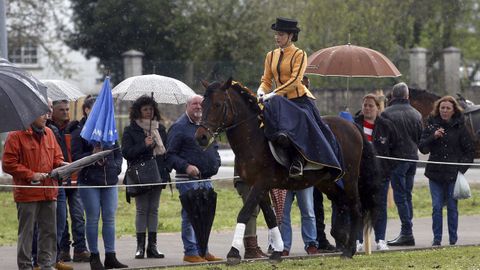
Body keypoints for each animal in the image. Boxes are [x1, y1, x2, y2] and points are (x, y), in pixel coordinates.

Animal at [195, 79, 382, 264]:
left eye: (218, 104)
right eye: (202, 104)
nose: (201, 137)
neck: (253, 138)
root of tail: (352, 126)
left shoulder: (261, 183)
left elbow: (244, 213)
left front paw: (233, 253)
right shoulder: (259, 186)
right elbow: (270, 217)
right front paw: (277, 252)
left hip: (350, 177)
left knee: (355, 207)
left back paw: (349, 249)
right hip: (326, 181)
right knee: (342, 202)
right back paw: (341, 239)